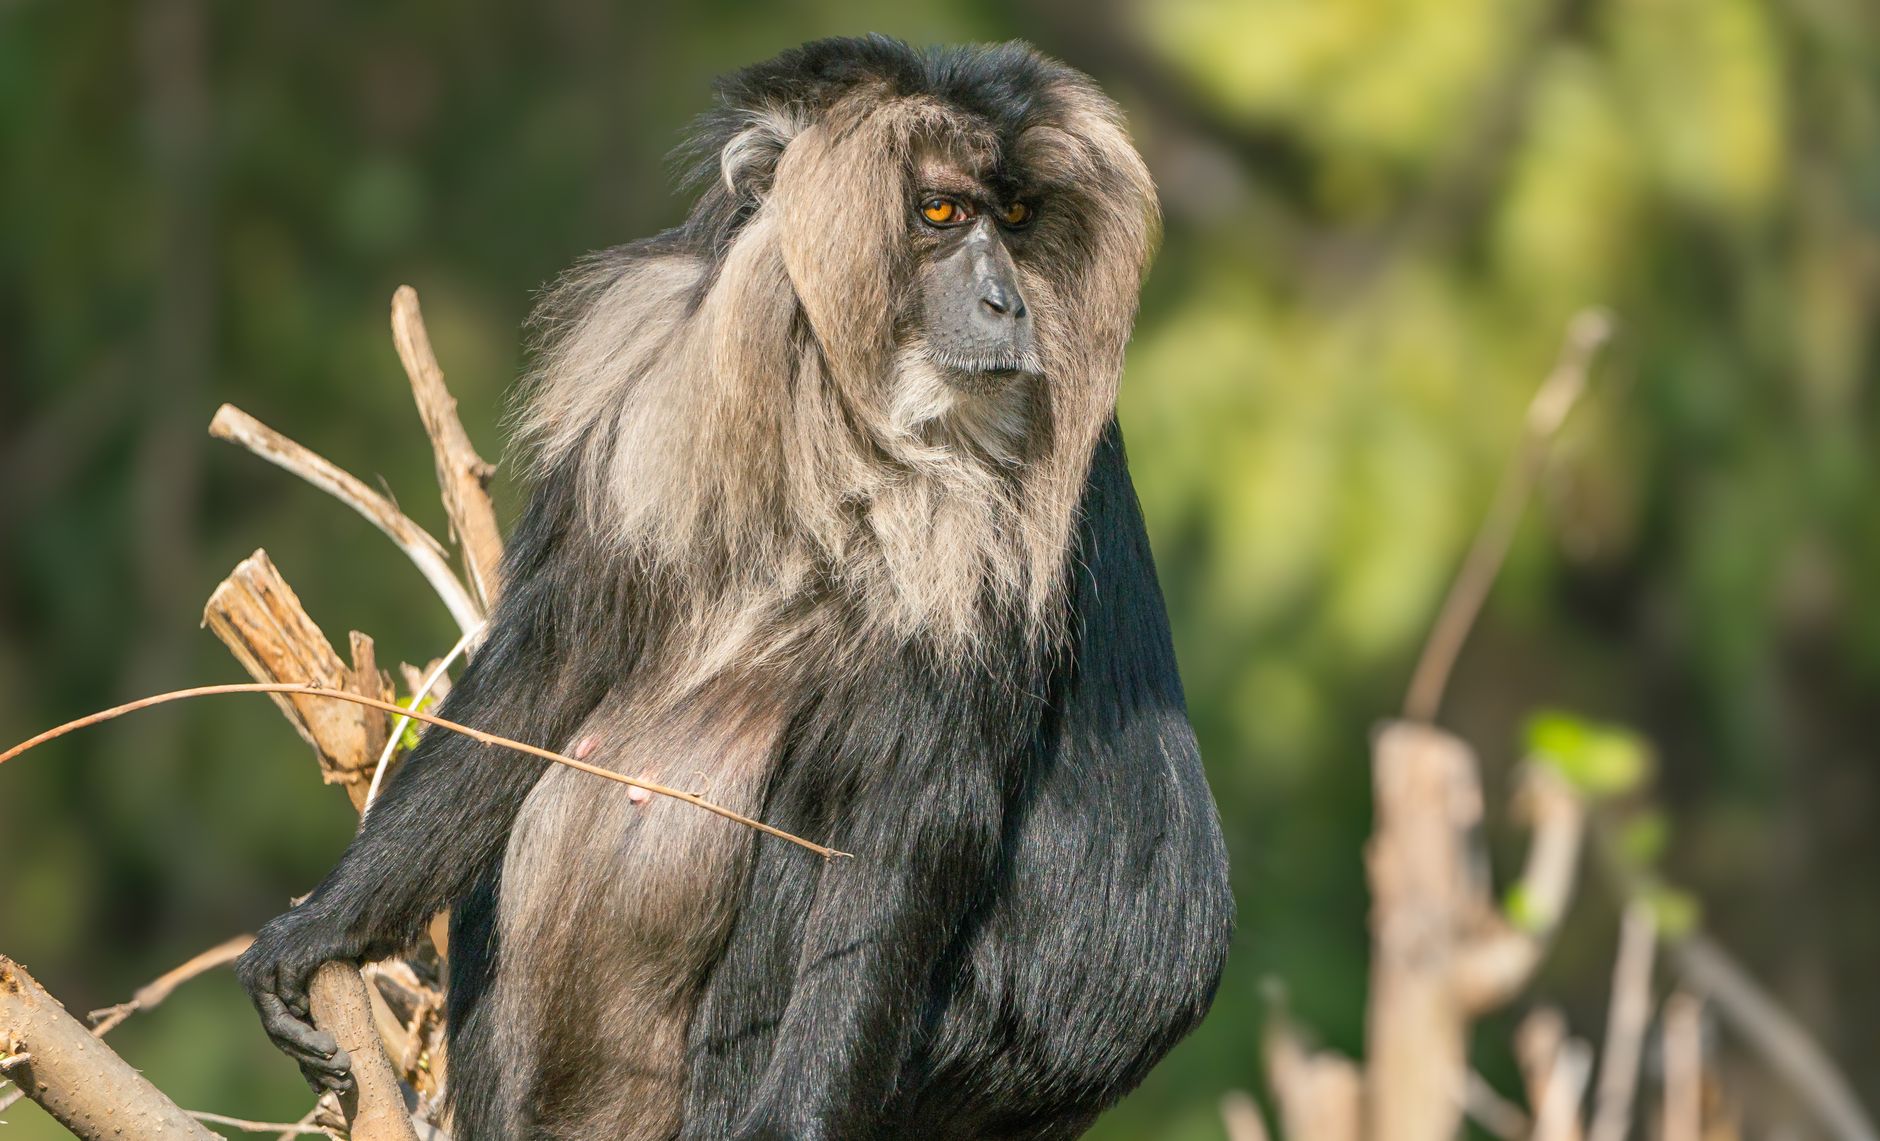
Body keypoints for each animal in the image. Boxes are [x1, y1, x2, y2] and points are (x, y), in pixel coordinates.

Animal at [237, 36, 1233, 1141]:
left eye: (1014, 218)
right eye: (941, 213)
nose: (1005, 304)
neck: (821, 413)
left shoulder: (1014, 512)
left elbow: (910, 819)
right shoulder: (646, 355)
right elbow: (542, 680)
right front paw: (327, 927)